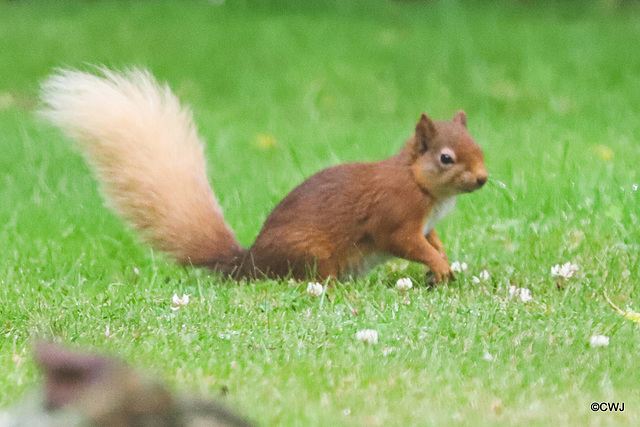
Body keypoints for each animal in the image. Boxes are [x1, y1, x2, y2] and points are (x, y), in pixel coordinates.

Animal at [40, 68, 484, 286]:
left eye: (478, 145)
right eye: (446, 158)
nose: (482, 179)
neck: (419, 183)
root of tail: (250, 264)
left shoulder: (425, 223)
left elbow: (431, 239)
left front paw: (442, 262)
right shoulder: (394, 214)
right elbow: (404, 241)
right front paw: (438, 265)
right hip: (311, 254)